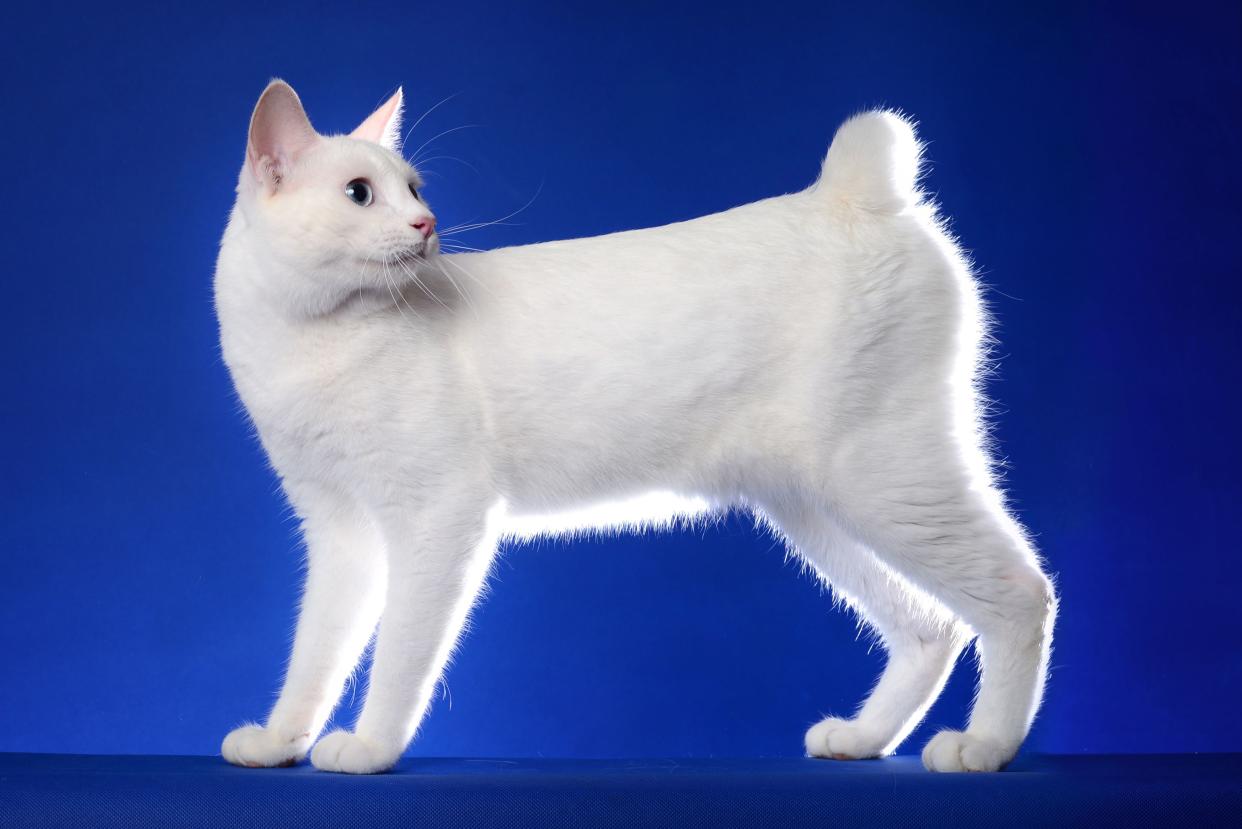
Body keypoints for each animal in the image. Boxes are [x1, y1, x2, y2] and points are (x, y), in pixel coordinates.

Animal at [213, 80, 1058, 775]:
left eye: (414, 188)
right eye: (361, 194)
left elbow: (398, 655)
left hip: (885, 480)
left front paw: (370, 747)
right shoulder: (343, 533)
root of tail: (848, 192)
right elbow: (317, 651)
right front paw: (282, 740)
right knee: (928, 626)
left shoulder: (438, 519)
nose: (427, 223)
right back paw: (863, 737)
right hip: (817, 508)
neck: (311, 342)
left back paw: (986, 744)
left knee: (1023, 593)